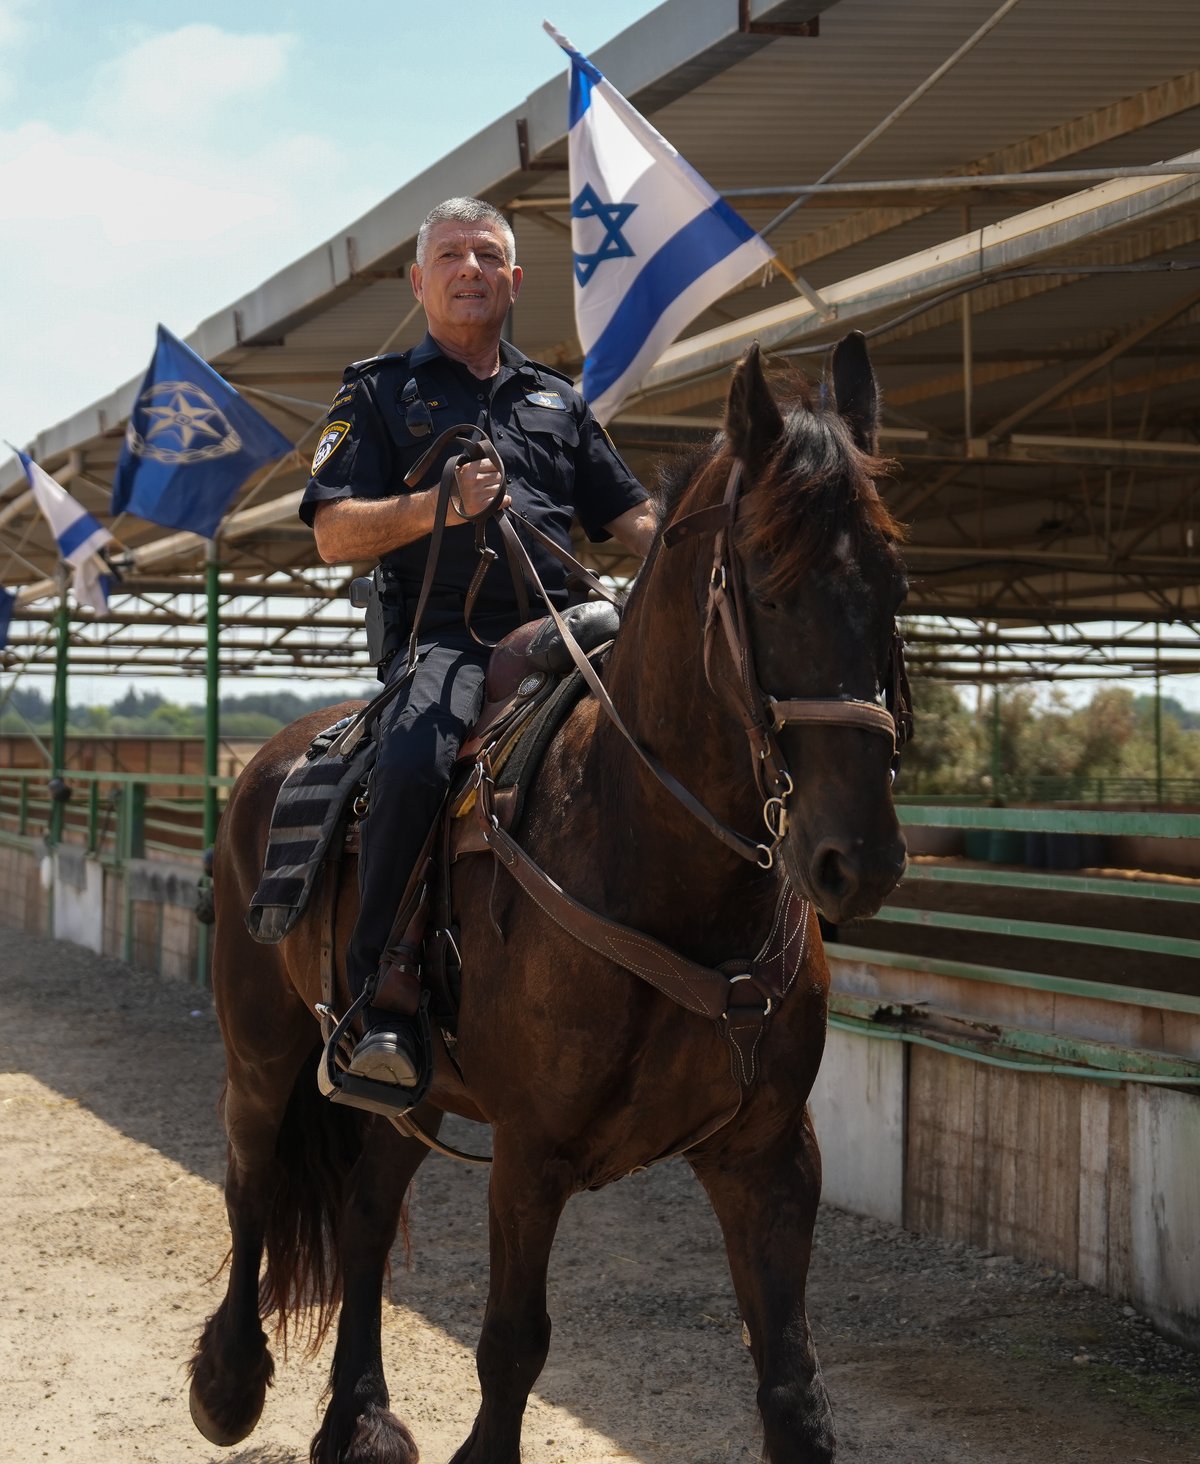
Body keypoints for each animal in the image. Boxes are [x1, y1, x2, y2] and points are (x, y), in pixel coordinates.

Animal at [187, 335, 907, 1464]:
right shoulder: (531, 1155)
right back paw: (227, 1383)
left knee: (363, 1214)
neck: (655, 864)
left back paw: (360, 1416)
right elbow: (512, 1347)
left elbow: (794, 1387)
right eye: (768, 583)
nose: (857, 859)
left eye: (892, 579)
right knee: (250, 1172)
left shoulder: (770, 1154)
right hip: (263, 1046)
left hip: (411, 1092)